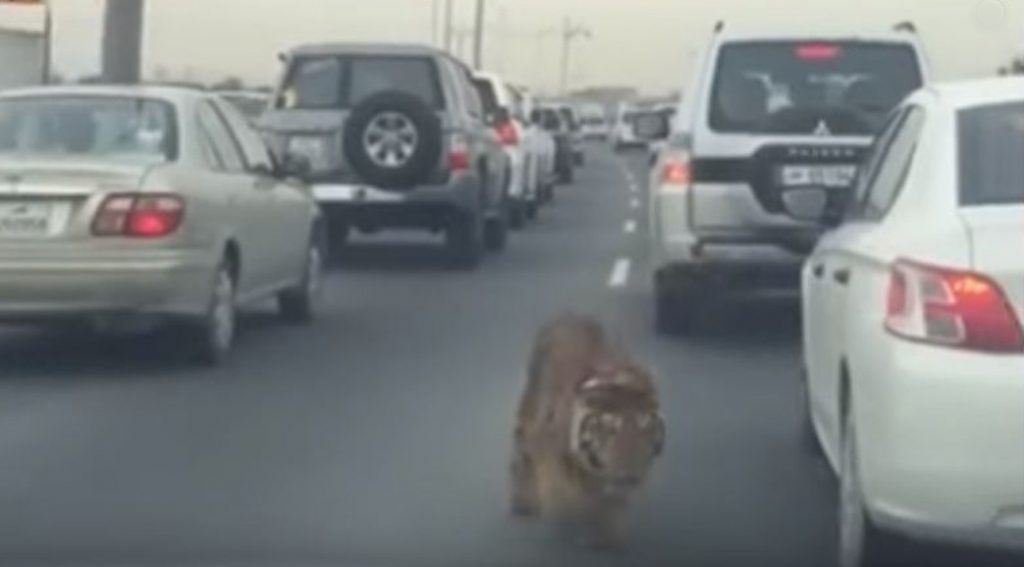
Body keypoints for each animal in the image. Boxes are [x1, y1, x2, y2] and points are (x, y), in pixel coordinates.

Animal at [509, 311, 663, 544]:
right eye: (611, 429)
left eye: (643, 426)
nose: (629, 477)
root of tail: (568, 315)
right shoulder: (554, 458)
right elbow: (563, 492)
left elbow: (608, 505)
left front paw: (605, 536)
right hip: (528, 414)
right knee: (522, 453)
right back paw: (523, 502)